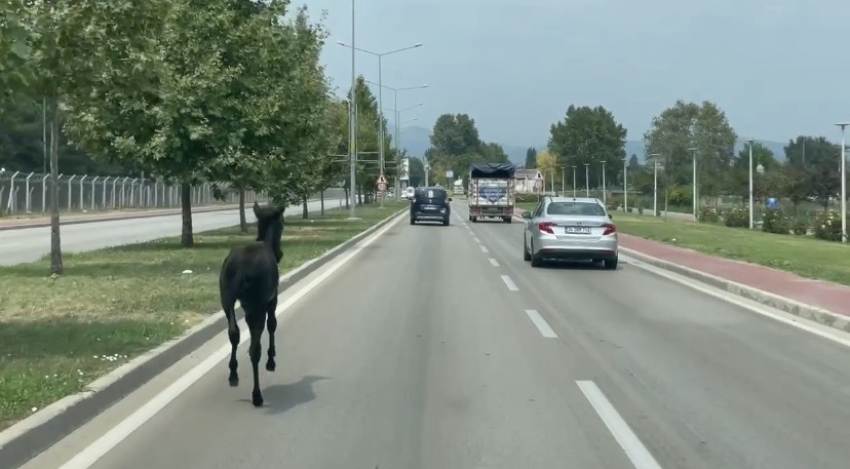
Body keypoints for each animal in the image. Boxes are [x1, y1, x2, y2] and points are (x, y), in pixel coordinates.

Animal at [219, 199, 284, 404]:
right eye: (282, 224)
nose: (280, 254)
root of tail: (240, 270)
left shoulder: (247, 306)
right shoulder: (271, 299)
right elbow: (272, 324)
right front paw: (272, 359)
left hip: (226, 297)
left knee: (233, 332)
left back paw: (233, 374)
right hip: (259, 302)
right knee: (255, 347)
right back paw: (257, 394)